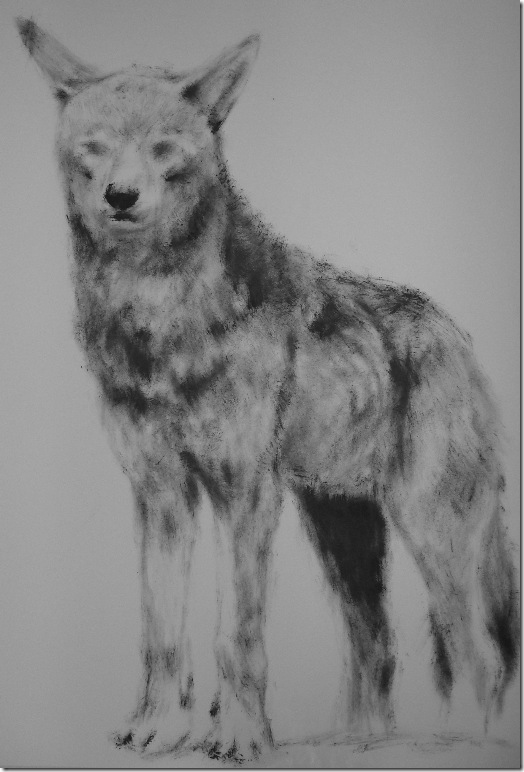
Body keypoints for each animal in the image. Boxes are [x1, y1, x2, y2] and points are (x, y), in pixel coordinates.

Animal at [18, 18, 518, 761]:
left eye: (163, 144)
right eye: (95, 145)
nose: (120, 196)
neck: (160, 315)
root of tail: (457, 335)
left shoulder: (244, 493)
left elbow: (237, 636)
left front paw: (240, 737)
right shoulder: (161, 496)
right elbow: (161, 634)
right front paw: (158, 728)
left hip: (433, 536)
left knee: (480, 659)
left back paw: (466, 745)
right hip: (344, 538)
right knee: (377, 650)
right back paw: (357, 740)